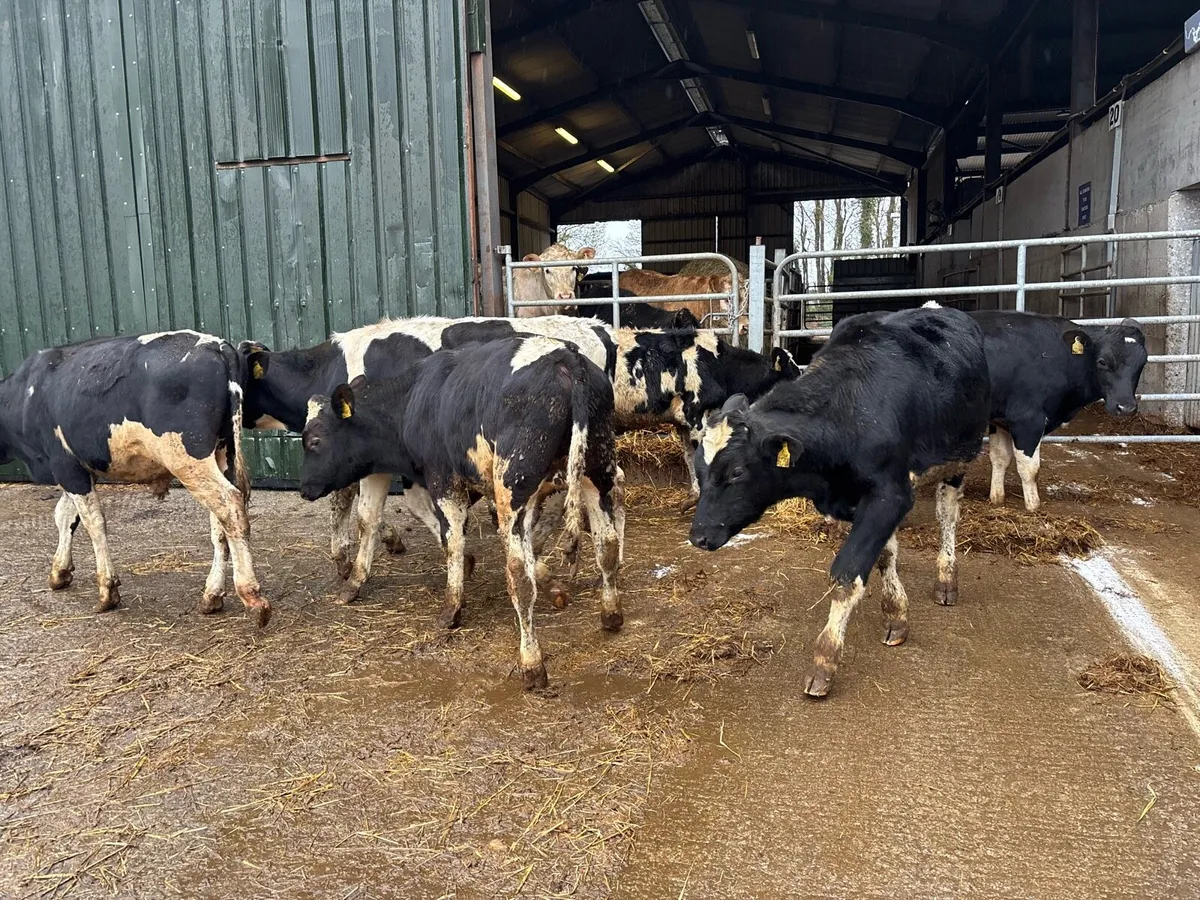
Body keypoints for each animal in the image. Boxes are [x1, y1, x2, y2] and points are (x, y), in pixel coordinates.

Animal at [0, 331, 270, 626]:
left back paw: (252, 597)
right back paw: (212, 595)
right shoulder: (78, 468)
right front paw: (60, 571)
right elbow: (65, 516)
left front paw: (107, 590)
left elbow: (93, 523)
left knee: (230, 506)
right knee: (220, 521)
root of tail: (217, 345)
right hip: (220, 454)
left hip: (188, 458)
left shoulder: (65, 465)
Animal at [298, 335, 621, 690]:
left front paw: (452, 605)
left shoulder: (444, 479)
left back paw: (531, 663)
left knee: (518, 577)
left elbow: (451, 538)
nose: (303, 487)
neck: (413, 398)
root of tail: (564, 359)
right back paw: (611, 614)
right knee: (607, 545)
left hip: (515, 483)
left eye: (315, 441)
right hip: (596, 469)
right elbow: (377, 519)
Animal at [688, 304, 990, 698]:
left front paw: (825, 660)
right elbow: (885, 555)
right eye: (698, 467)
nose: (698, 536)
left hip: (958, 459)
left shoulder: (891, 495)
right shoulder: (858, 502)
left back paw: (947, 579)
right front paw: (895, 613)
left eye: (737, 471)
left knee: (947, 516)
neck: (849, 414)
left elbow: (847, 574)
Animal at [971, 311, 1148, 511]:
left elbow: (1000, 458)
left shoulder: (1000, 419)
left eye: (1143, 362)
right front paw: (1033, 507)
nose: (1126, 407)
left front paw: (996, 498)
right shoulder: (1028, 419)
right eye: (1102, 362)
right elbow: (1029, 469)